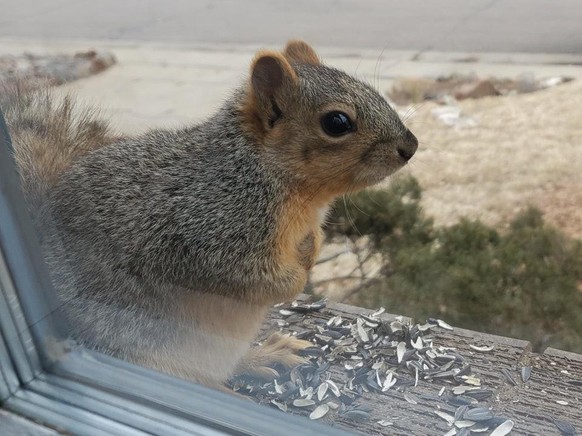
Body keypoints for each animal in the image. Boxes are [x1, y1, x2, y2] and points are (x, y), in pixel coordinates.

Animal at [2, 40, 418, 392]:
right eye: (337, 122)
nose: (410, 146)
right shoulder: (209, 231)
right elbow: (248, 277)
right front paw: (297, 281)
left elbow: (311, 241)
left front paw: (310, 253)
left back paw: (262, 356)